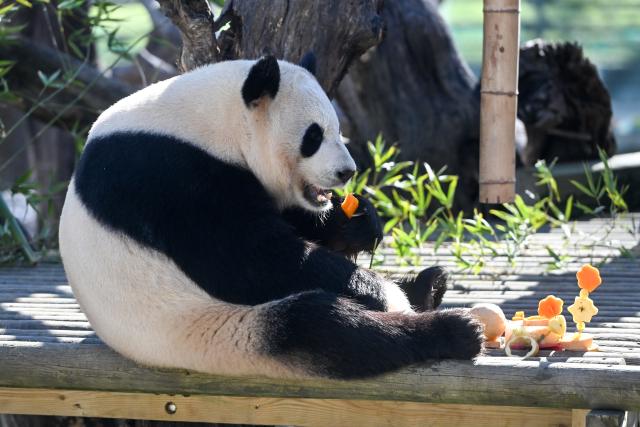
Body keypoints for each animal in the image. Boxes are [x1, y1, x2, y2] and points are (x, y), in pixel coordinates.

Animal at [59, 55, 483, 379]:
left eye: (339, 129)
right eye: (314, 136)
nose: (346, 172)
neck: (213, 117)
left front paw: (359, 221)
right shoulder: (169, 175)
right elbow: (251, 259)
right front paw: (380, 291)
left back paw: (427, 286)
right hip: (213, 331)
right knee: (323, 328)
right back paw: (452, 328)